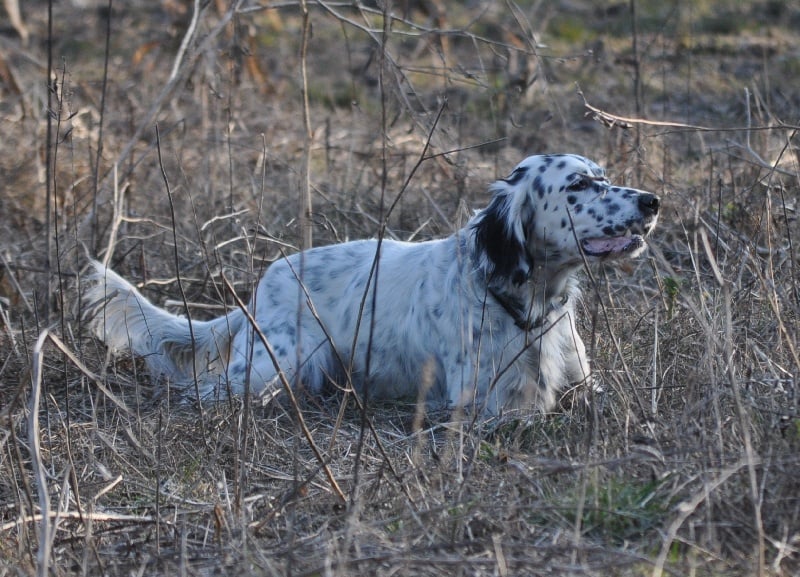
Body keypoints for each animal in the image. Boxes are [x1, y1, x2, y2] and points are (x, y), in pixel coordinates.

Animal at [84, 153, 660, 414]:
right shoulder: (483, 406)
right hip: (269, 369)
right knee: (204, 391)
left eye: (604, 176)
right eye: (579, 184)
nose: (653, 200)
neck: (526, 302)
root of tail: (264, 284)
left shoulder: (582, 384)